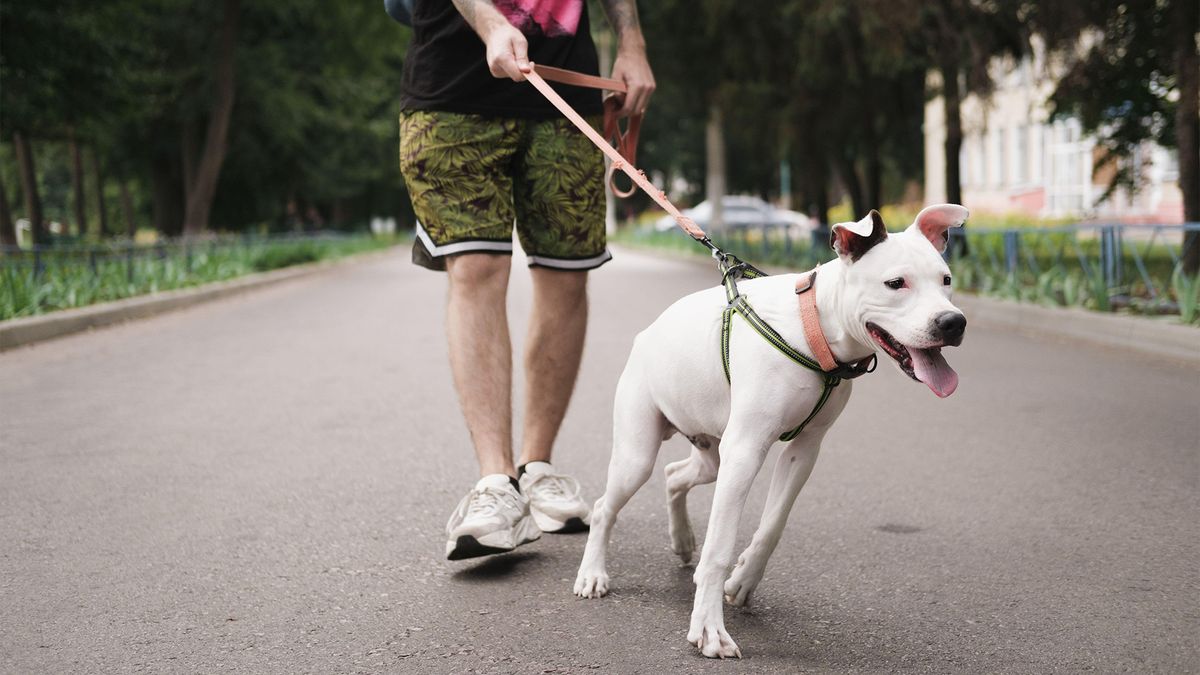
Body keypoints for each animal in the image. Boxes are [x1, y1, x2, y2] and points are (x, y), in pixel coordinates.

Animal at [568, 201, 964, 653]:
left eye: (946, 280)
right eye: (895, 283)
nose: (953, 322)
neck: (814, 327)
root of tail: (647, 333)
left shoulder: (803, 450)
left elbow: (773, 524)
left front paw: (743, 579)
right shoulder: (745, 451)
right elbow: (719, 547)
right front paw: (709, 628)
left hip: (711, 454)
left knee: (673, 475)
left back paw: (682, 539)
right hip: (639, 454)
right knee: (606, 506)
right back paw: (593, 574)